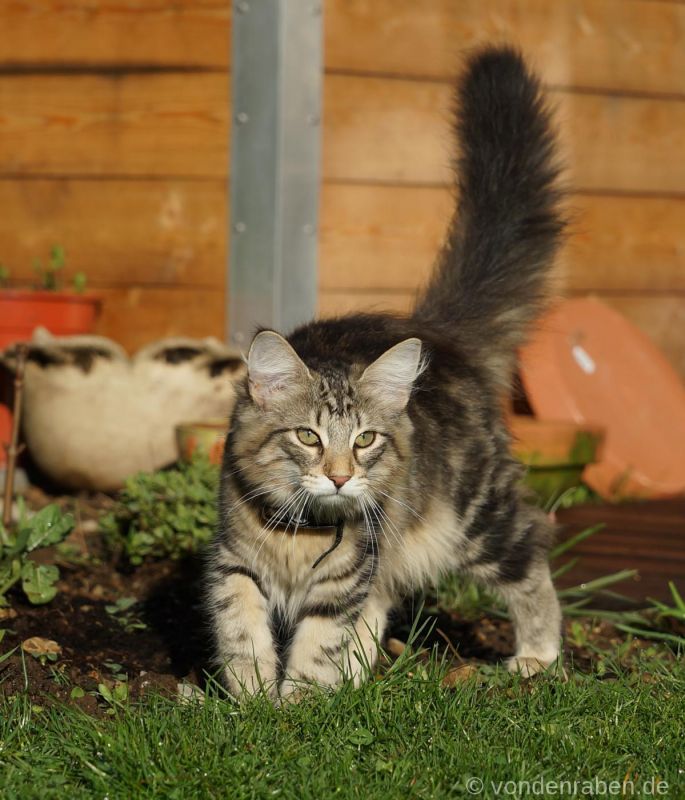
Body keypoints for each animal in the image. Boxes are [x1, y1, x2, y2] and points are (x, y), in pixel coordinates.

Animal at [206, 45, 564, 700]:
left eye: (366, 439)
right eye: (308, 436)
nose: (341, 478)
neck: (300, 535)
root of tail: (438, 335)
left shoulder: (346, 575)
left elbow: (317, 643)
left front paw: (298, 705)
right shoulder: (234, 562)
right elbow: (242, 632)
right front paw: (251, 699)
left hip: (473, 518)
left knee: (530, 551)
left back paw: (538, 654)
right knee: (380, 609)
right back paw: (356, 683)